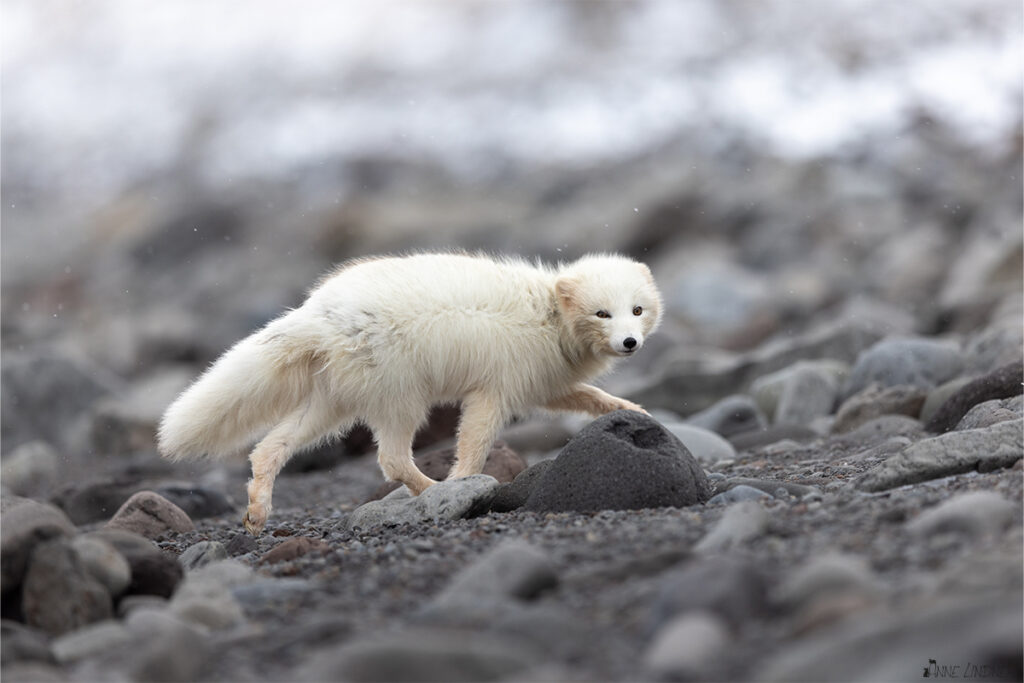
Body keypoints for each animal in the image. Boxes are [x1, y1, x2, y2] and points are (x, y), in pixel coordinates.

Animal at [155, 250, 659, 532]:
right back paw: (435, 491)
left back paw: (258, 512)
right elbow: (474, 443)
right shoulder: (494, 390)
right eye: (601, 313)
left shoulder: (540, 384)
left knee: (268, 447)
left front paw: (635, 411)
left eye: (636, 310)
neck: (549, 315)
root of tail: (318, 311)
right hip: (401, 400)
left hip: (333, 406)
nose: (630, 343)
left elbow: (591, 397)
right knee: (391, 460)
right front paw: (467, 483)